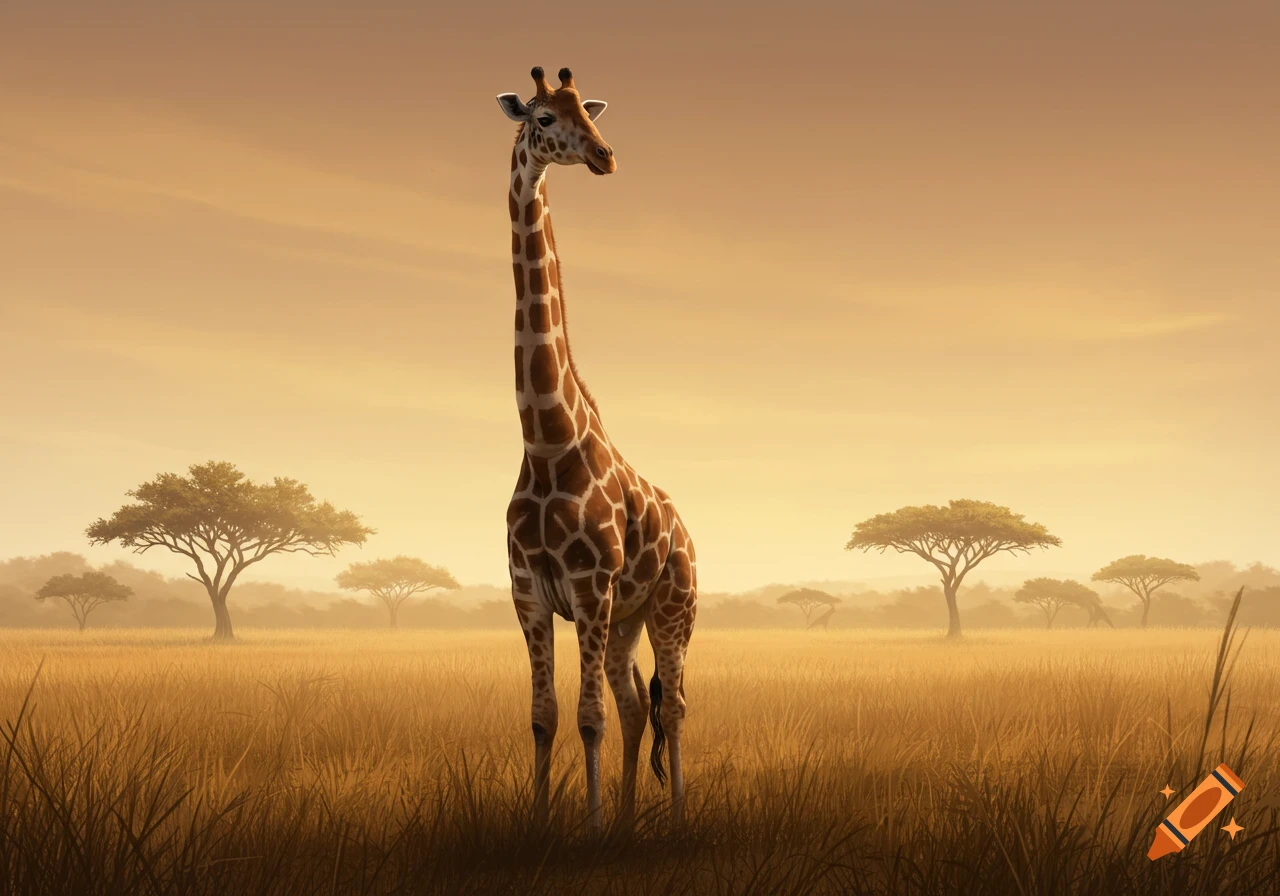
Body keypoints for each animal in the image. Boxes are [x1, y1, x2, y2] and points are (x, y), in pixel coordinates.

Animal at [496, 67, 697, 830]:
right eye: (544, 117)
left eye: (590, 110)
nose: (607, 157)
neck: (547, 441)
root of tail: (686, 530)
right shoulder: (528, 594)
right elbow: (545, 716)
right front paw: (546, 823)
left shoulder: (588, 590)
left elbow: (588, 719)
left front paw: (588, 828)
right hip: (626, 622)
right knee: (640, 703)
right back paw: (635, 816)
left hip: (670, 610)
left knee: (674, 705)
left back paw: (675, 818)